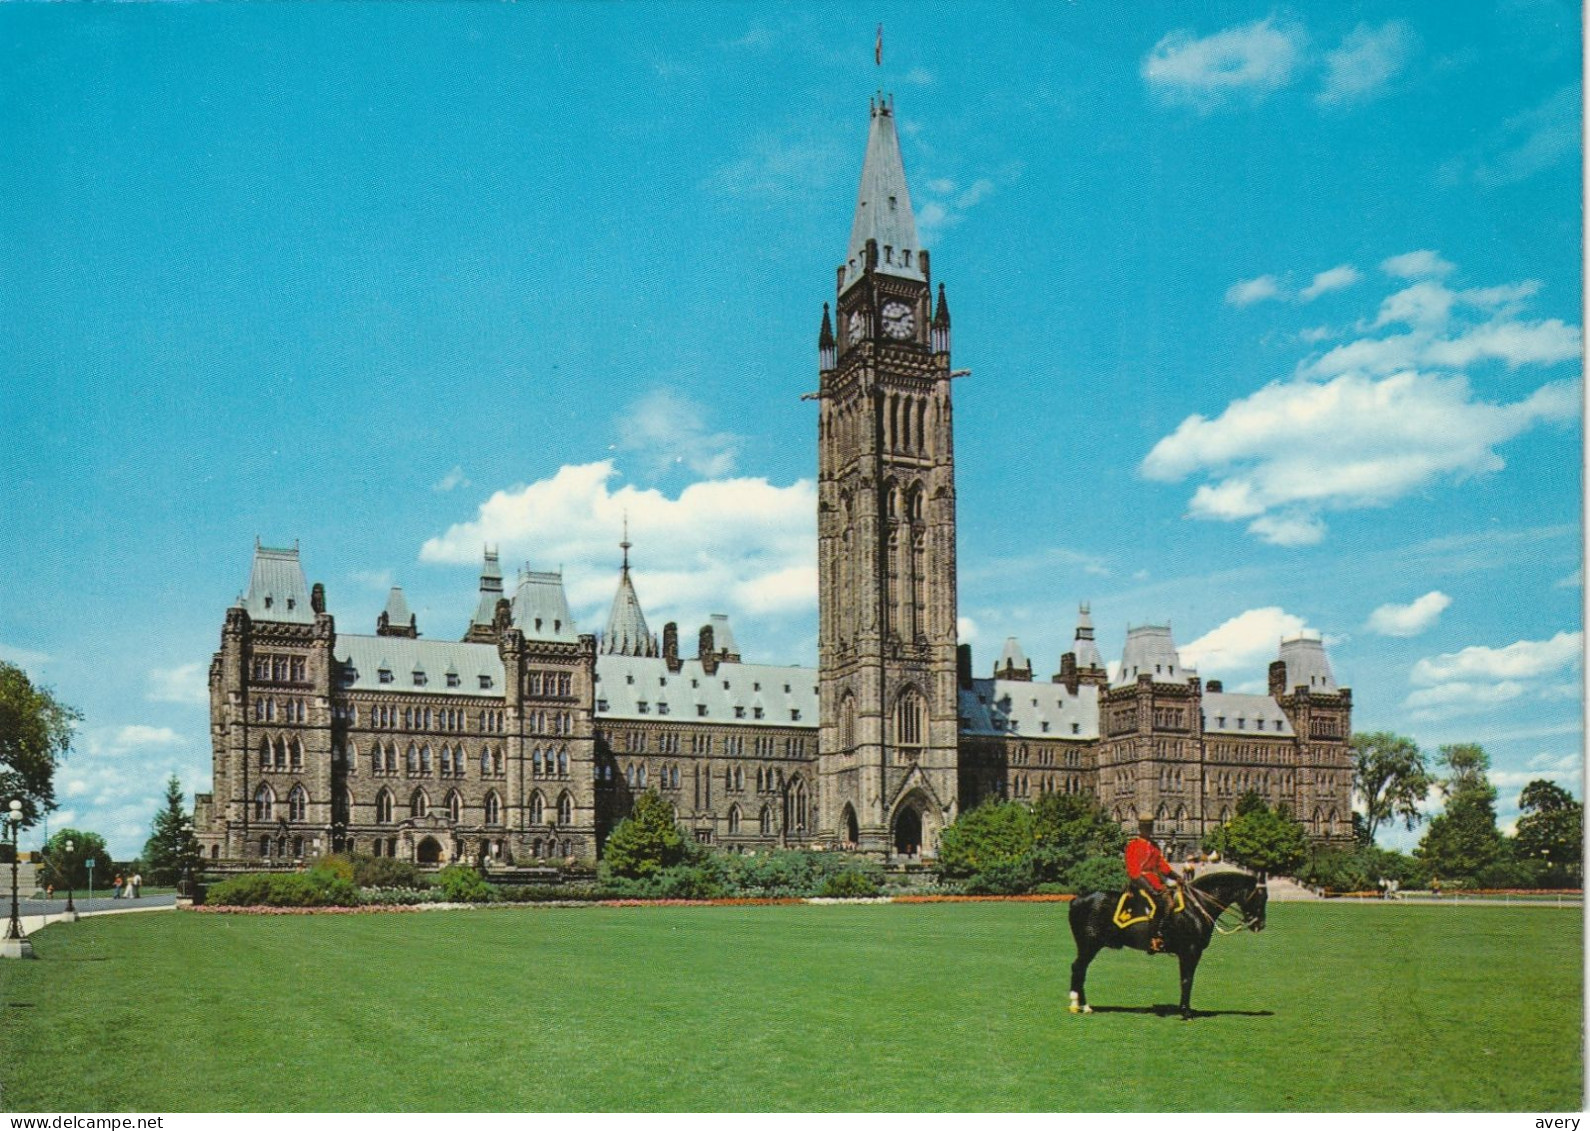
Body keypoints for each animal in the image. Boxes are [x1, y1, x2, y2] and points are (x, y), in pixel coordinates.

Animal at [1068, 871, 1265, 1024]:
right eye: (1260, 897)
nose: (1260, 925)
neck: (1196, 906)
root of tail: (1078, 898)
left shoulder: (1188, 952)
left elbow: (1185, 980)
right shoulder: (1190, 951)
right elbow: (1187, 980)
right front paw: (1186, 1012)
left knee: (1080, 970)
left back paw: (1081, 1005)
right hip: (1089, 945)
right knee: (1078, 968)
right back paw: (1079, 1005)